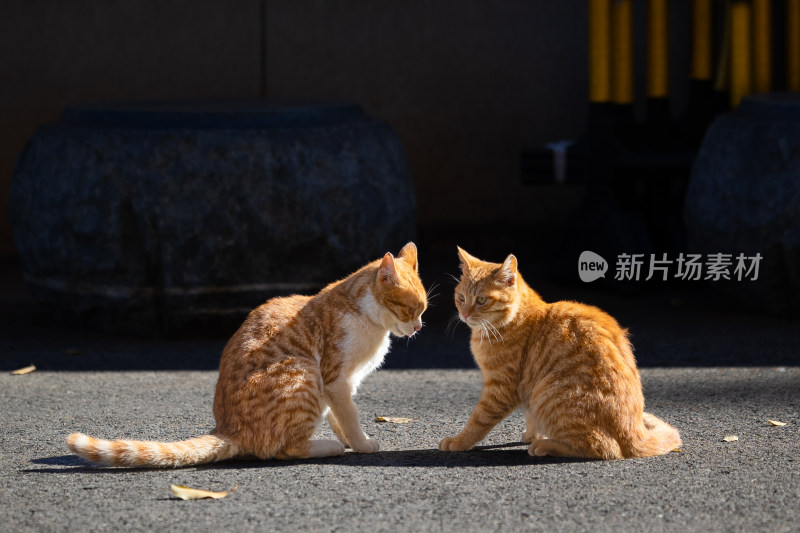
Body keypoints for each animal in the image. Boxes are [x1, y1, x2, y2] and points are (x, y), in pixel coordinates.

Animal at [67, 242, 432, 466]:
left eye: (424, 310)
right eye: (410, 310)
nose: (418, 327)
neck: (367, 315)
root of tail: (227, 428)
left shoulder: (341, 385)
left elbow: (341, 416)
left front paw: (351, 437)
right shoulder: (334, 379)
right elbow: (349, 417)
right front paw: (361, 444)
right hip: (303, 372)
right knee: (285, 450)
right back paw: (328, 447)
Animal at [438, 247, 680, 460]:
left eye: (481, 300)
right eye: (461, 298)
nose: (464, 314)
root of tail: (635, 433)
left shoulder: (500, 389)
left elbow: (478, 421)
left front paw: (458, 441)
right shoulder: (527, 388)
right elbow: (530, 417)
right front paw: (532, 434)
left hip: (550, 395)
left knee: (603, 447)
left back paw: (546, 445)